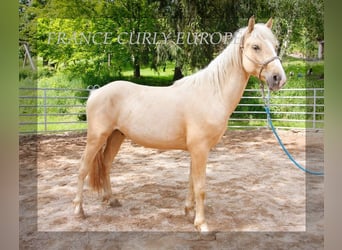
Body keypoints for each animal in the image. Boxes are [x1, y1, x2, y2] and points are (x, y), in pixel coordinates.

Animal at [74, 16, 286, 231]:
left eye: (276, 45)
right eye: (256, 46)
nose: (279, 78)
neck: (211, 93)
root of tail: (95, 93)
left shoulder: (197, 150)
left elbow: (191, 181)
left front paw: (189, 212)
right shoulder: (200, 149)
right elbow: (200, 187)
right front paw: (201, 224)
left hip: (116, 136)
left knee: (106, 165)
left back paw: (111, 200)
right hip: (96, 138)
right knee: (83, 168)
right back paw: (79, 210)